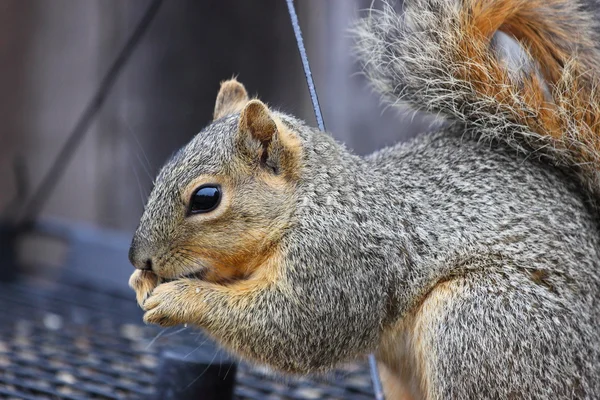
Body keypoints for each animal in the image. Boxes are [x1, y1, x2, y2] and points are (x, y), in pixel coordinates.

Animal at [127, 0, 600, 396]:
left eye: (206, 198)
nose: (139, 258)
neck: (311, 201)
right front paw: (140, 283)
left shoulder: (339, 261)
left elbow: (293, 327)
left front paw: (179, 298)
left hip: (479, 323)